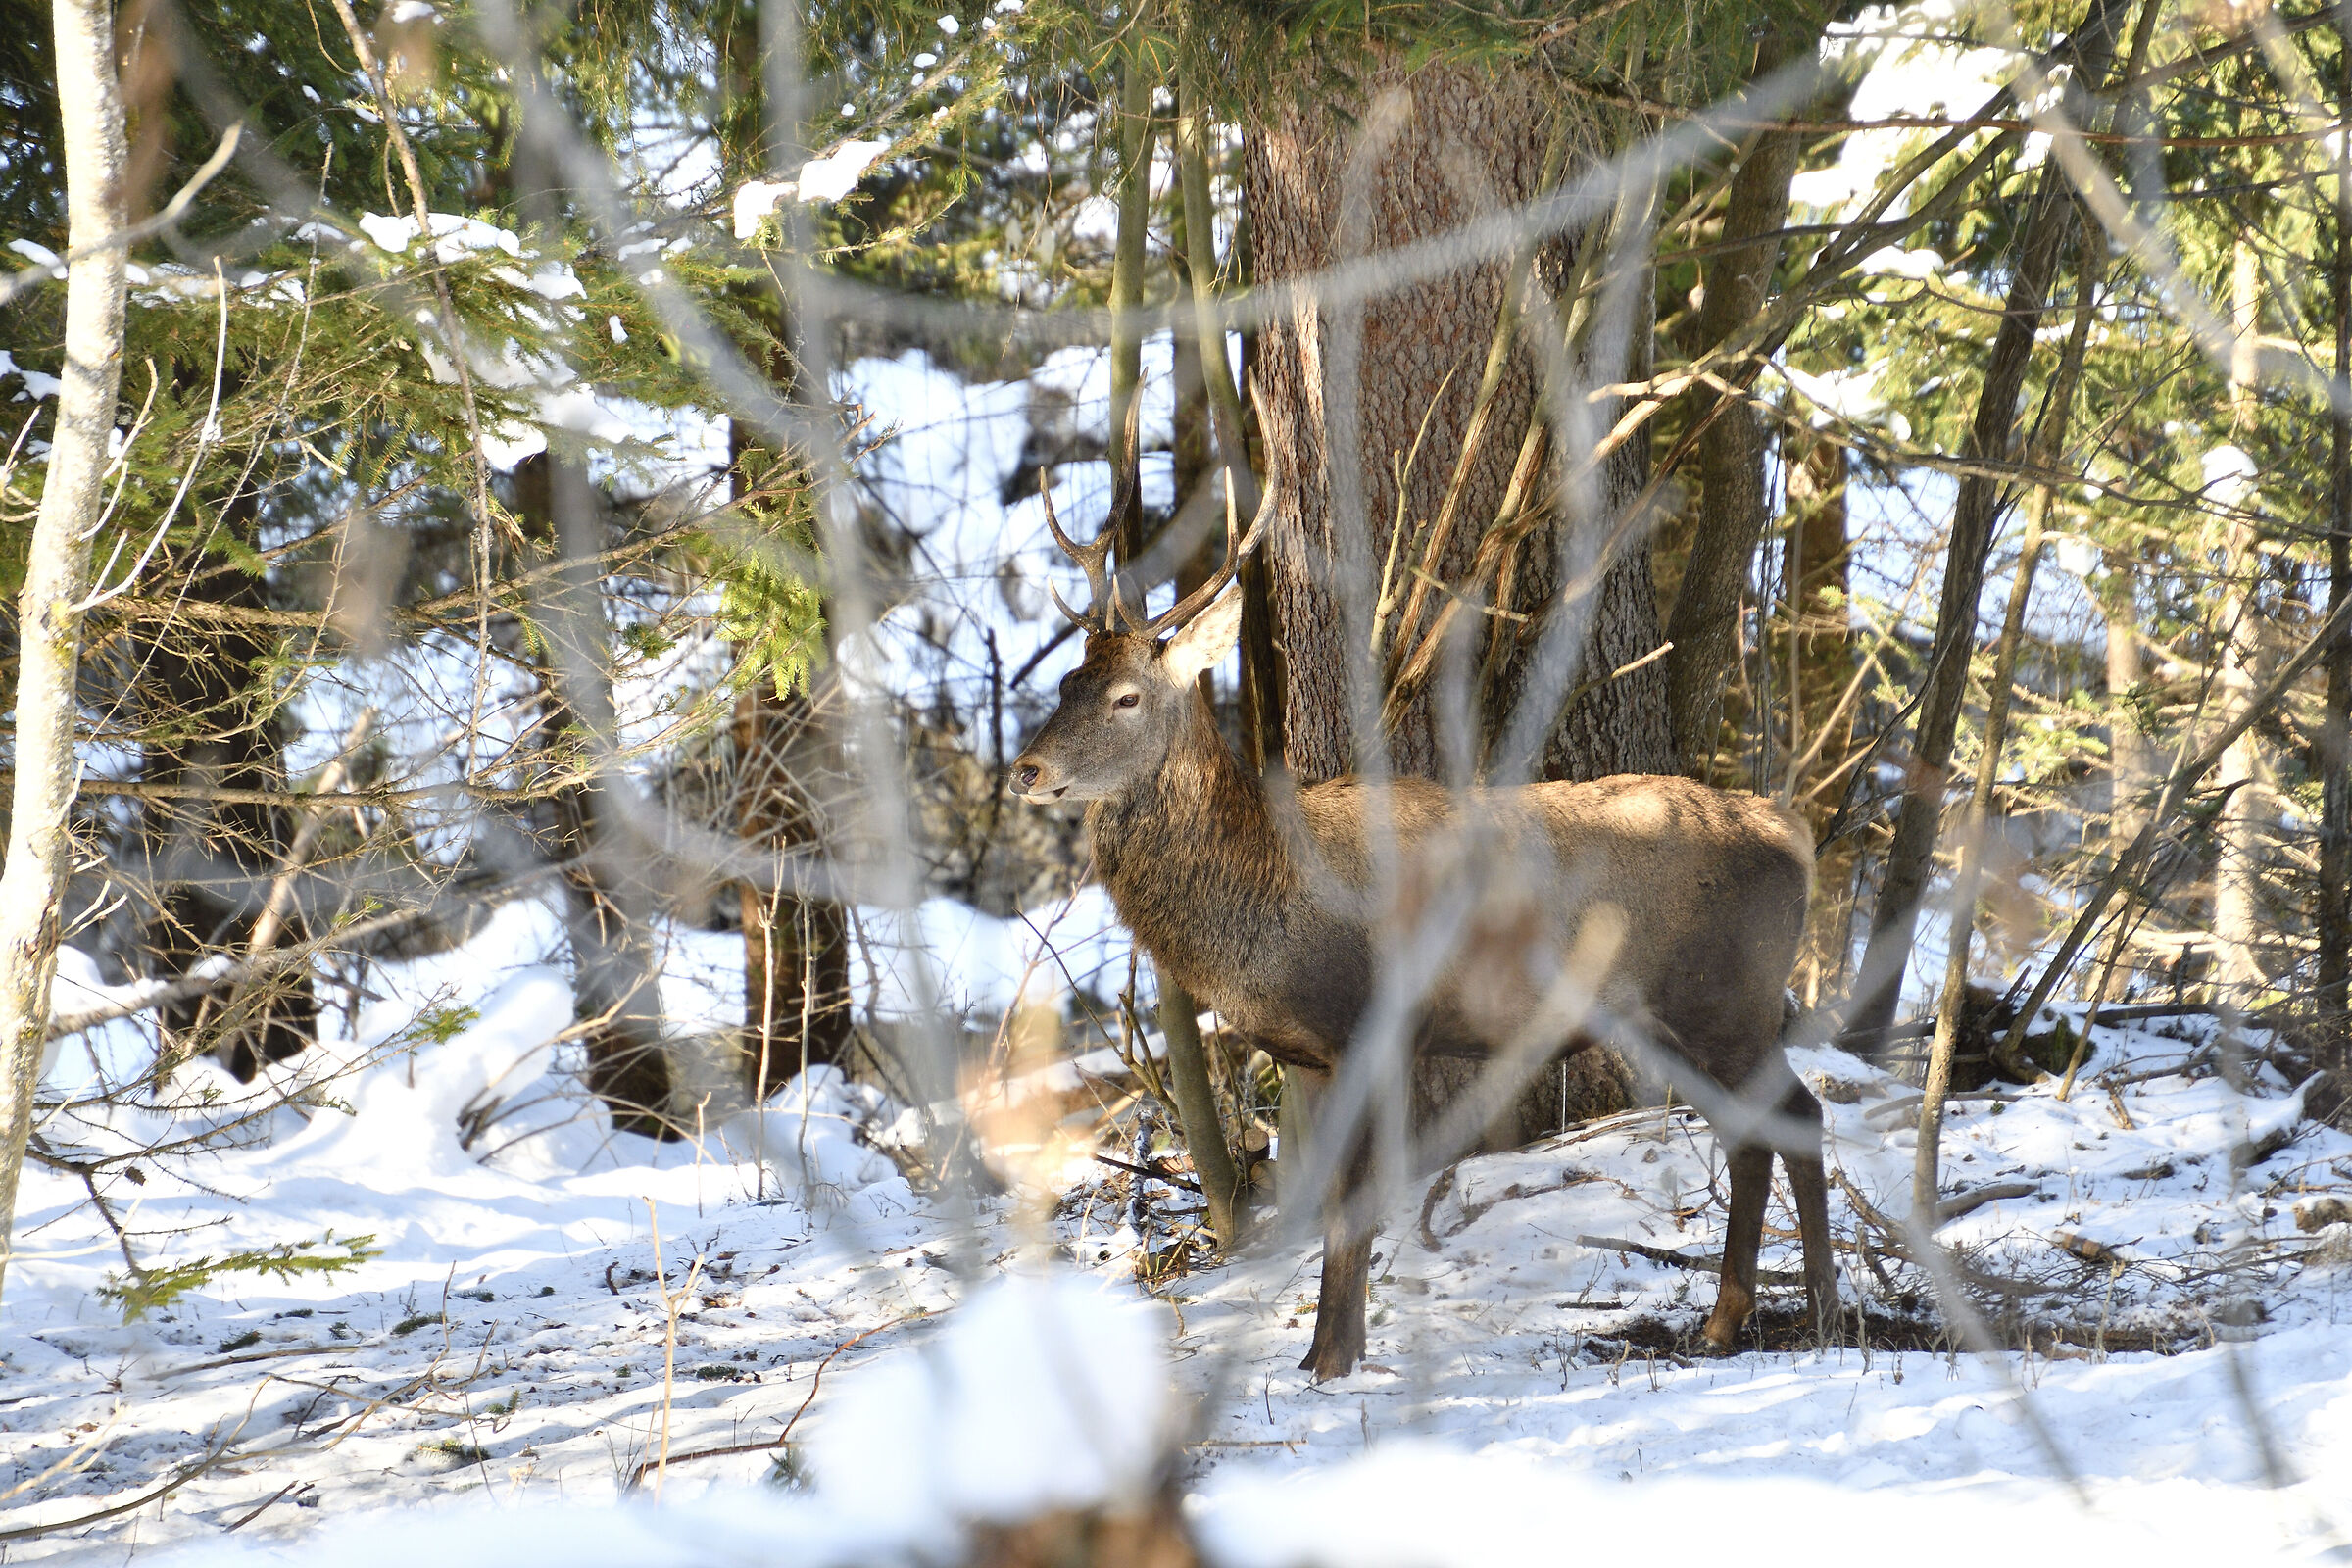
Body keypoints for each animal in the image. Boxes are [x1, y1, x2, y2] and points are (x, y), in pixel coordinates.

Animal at [1010, 474, 1840, 1382]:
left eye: (1126, 697)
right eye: (1066, 685)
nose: (1027, 769)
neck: (1269, 894)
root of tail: (1793, 832)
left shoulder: (1369, 1023)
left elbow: (1352, 1207)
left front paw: (1333, 1363)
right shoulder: (1307, 1056)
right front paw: (1324, 1354)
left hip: (1725, 997)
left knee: (1797, 1117)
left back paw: (1823, 1312)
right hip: (1677, 1019)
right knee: (1752, 1138)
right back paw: (1730, 1323)